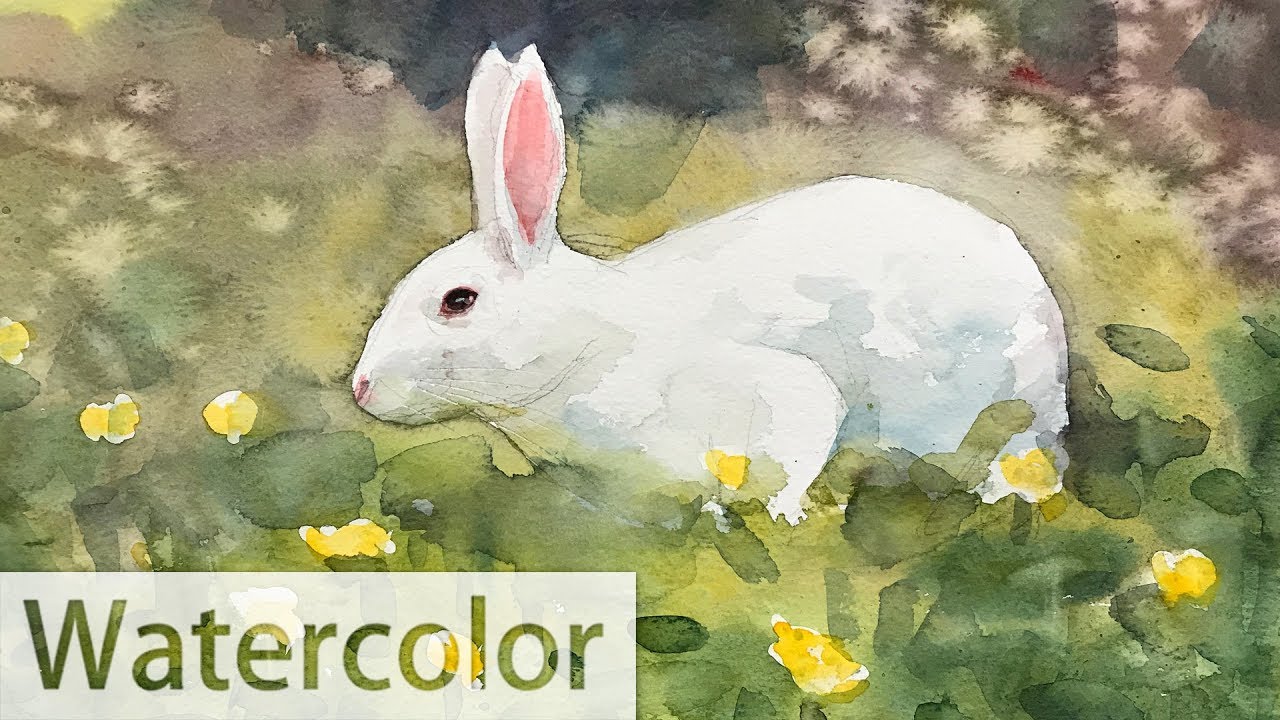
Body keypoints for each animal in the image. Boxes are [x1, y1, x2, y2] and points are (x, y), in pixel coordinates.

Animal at [352, 44, 1069, 524]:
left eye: (458, 301)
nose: (360, 388)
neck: (585, 344)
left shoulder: (774, 389)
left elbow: (803, 430)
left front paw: (783, 517)